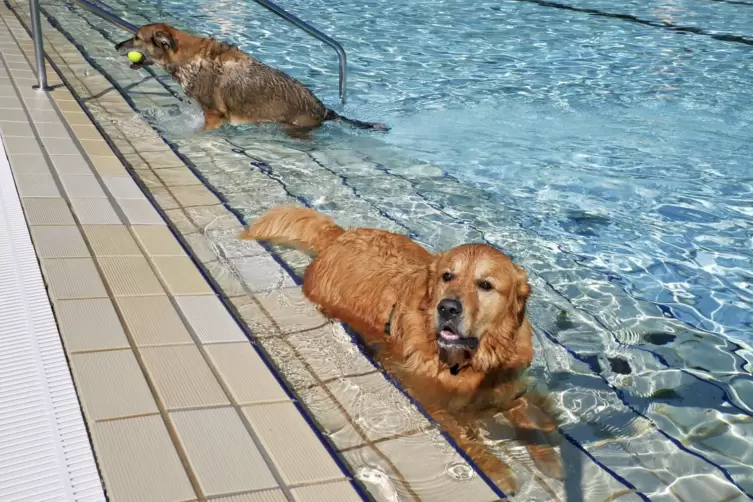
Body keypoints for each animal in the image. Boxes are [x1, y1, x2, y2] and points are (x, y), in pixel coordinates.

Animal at [238, 206, 560, 492]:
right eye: (447, 276)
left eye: (486, 285)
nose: (447, 307)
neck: (471, 362)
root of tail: (340, 235)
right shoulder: (427, 397)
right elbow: (463, 434)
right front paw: (498, 469)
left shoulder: (510, 385)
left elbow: (530, 416)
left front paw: (551, 459)